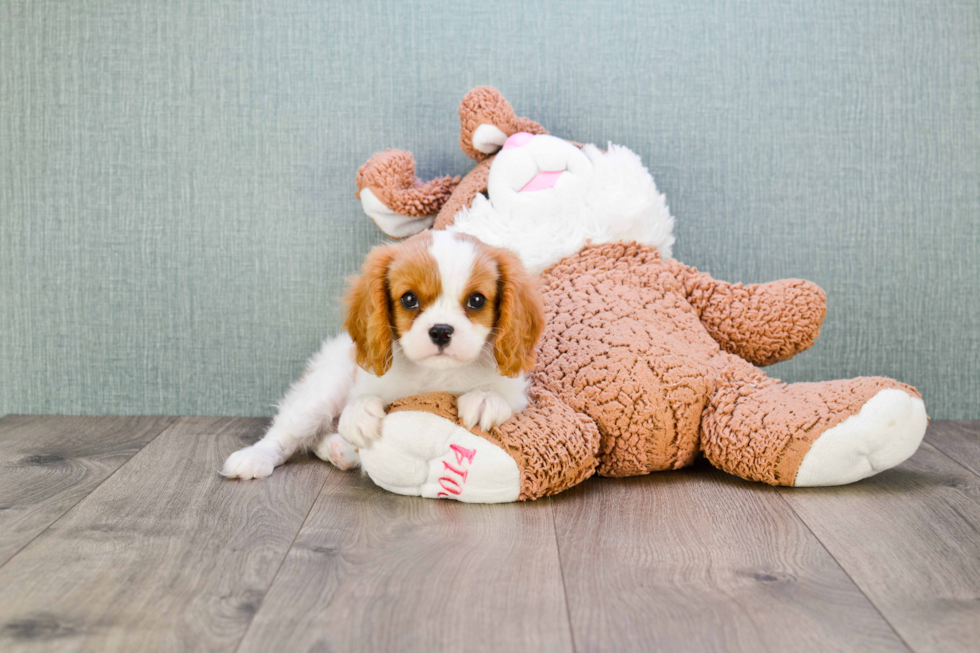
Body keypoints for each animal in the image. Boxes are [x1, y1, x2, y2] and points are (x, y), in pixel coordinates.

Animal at [222, 229, 544, 478]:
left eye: (476, 300)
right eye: (409, 299)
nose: (441, 330)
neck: (435, 374)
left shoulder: (517, 393)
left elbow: (499, 393)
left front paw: (484, 399)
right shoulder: (365, 378)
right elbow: (360, 397)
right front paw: (359, 414)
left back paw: (339, 450)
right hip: (323, 388)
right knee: (288, 431)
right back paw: (256, 457)